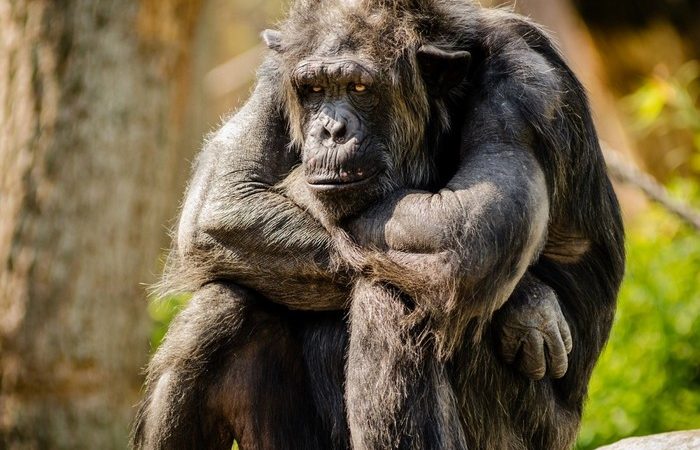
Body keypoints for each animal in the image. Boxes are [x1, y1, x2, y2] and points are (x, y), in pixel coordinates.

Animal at [132, 1, 624, 449]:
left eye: (358, 86)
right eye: (313, 89)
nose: (330, 129)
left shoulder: (525, 85)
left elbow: (469, 229)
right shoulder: (275, 74)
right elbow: (223, 199)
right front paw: (528, 302)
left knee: (395, 294)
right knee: (218, 310)